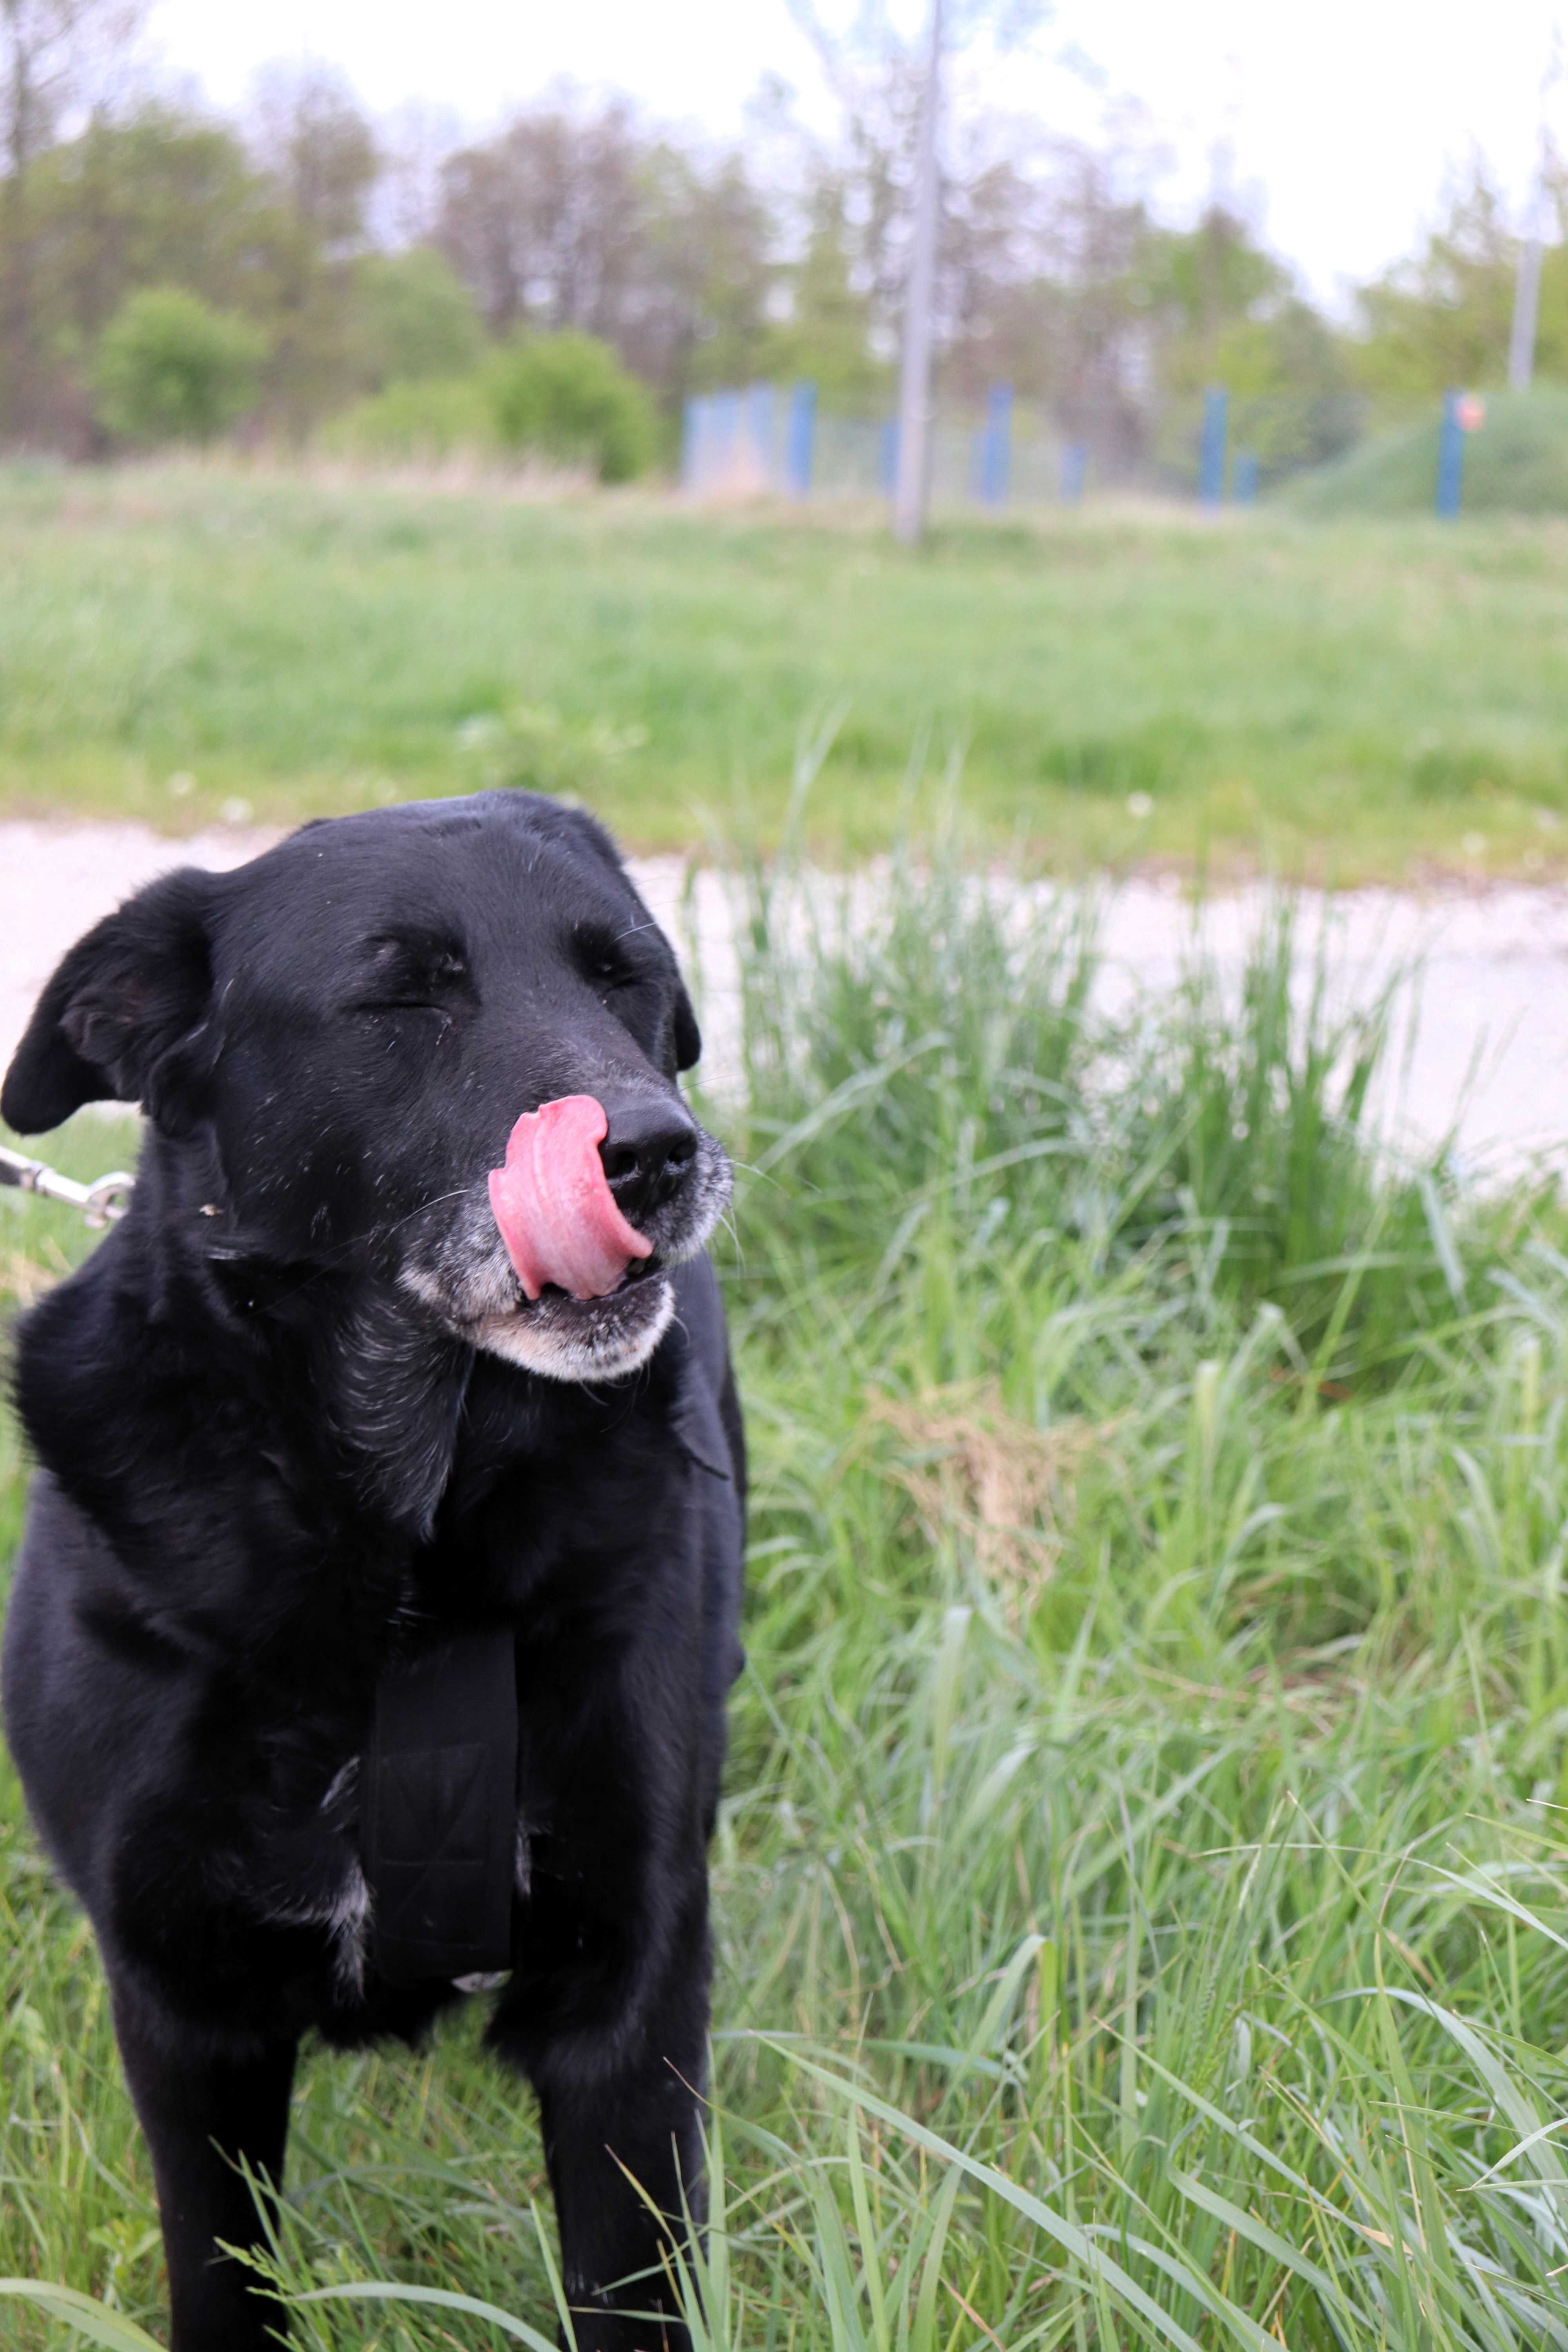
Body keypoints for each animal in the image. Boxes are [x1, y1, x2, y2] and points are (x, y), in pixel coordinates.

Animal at [1, 795, 748, 2352]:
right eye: (403, 996)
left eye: (624, 976)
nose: (655, 1152)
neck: (408, 1550)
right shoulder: (184, 2007)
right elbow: (222, 2276)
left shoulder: (633, 1994)